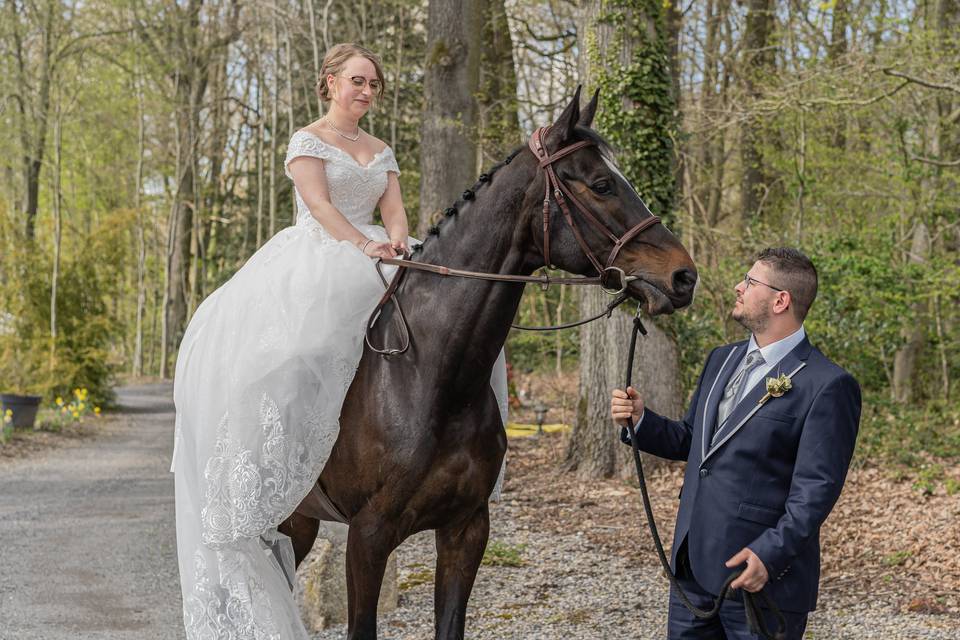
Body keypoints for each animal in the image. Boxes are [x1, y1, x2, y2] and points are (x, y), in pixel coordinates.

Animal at [278, 89, 696, 640]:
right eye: (602, 184)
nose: (684, 276)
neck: (427, 375)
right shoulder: (368, 538)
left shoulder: (467, 528)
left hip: (299, 520)